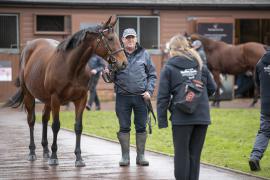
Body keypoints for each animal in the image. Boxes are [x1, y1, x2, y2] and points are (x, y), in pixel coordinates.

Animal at [2, 16, 127, 167]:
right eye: (110, 38)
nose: (123, 63)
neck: (71, 66)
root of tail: (29, 47)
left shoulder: (81, 99)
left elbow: (78, 127)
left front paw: (79, 158)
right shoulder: (56, 99)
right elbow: (56, 126)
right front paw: (54, 157)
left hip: (46, 99)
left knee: (44, 118)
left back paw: (45, 151)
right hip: (29, 95)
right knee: (31, 120)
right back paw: (32, 153)